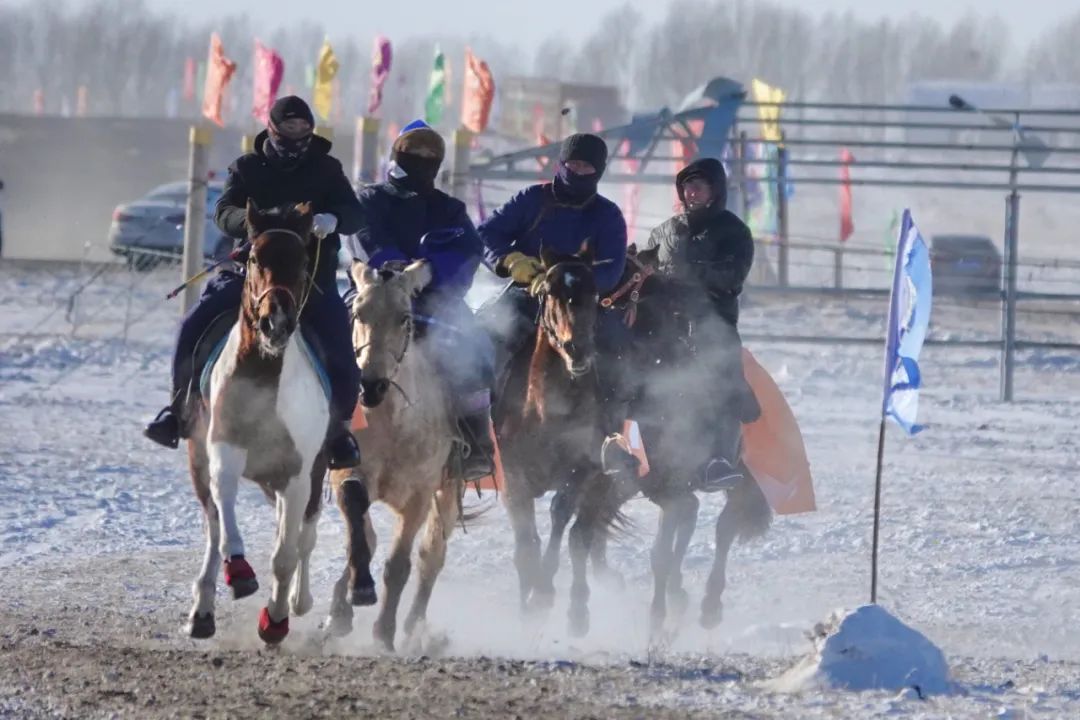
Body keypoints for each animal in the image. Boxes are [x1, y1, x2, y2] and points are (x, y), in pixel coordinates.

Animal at [185, 199, 328, 643]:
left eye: (303, 260)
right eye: (252, 257)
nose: (275, 322)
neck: (265, 377)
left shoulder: (299, 475)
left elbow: (286, 554)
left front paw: (276, 619)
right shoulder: (222, 450)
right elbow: (225, 516)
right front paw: (239, 571)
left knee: (304, 538)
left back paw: (299, 601)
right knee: (213, 527)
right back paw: (203, 609)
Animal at [326, 260, 466, 651]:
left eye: (405, 317)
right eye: (358, 312)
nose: (370, 385)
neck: (392, 421)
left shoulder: (419, 494)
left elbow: (399, 565)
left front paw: (383, 633)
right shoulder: (348, 472)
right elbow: (358, 527)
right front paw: (353, 596)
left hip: (449, 489)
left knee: (431, 555)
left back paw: (415, 629)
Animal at [492, 248, 630, 634]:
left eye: (595, 293)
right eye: (549, 291)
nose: (577, 349)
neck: (545, 409)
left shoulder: (581, 470)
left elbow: (560, 518)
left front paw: (543, 591)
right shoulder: (512, 477)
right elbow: (526, 542)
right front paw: (528, 600)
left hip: (601, 481)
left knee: (581, 536)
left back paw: (578, 611)